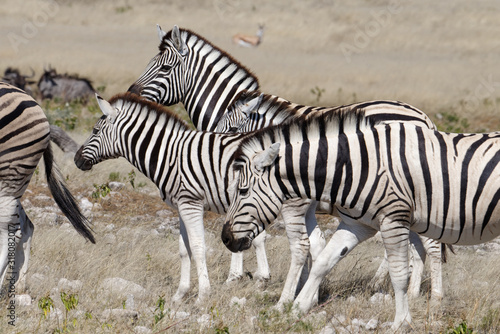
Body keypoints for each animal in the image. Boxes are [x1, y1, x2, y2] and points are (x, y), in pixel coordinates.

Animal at [217, 88, 448, 306]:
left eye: (232, 130)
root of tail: (425, 119)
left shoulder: (294, 204)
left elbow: (294, 243)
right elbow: (315, 245)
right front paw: (307, 290)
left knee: (431, 245)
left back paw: (433, 297)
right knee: (417, 246)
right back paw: (411, 292)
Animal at [222, 110, 500, 332]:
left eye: (242, 191)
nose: (226, 239)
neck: (356, 167)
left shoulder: (393, 218)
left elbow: (399, 275)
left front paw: (401, 323)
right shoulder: (358, 224)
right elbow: (323, 261)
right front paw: (296, 308)